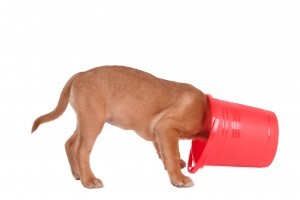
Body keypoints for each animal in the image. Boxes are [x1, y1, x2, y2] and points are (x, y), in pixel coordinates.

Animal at [31, 65, 211, 188]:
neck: (204, 108)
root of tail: (80, 74)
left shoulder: (159, 133)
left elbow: (164, 152)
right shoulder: (166, 127)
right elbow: (172, 154)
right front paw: (179, 178)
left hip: (85, 120)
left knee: (69, 143)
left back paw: (78, 174)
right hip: (93, 122)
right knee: (81, 149)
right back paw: (89, 180)